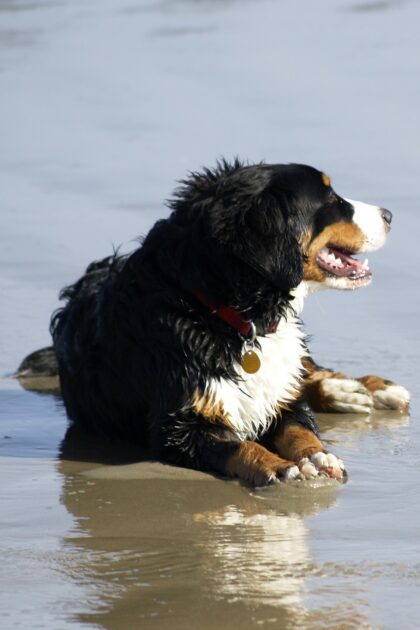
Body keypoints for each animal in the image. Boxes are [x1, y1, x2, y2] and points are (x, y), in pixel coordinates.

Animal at [17, 160, 410, 486]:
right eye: (329, 198)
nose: (390, 214)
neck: (230, 316)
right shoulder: (179, 427)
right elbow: (237, 445)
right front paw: (280, 466)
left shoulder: (283, 399)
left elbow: (299, 427)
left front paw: (319, 455)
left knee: (307, 372)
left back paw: (363, 389)